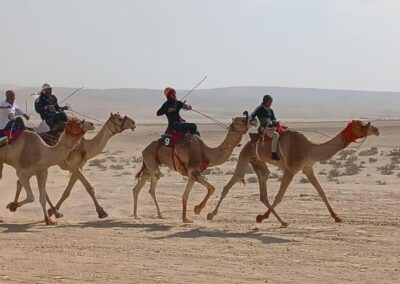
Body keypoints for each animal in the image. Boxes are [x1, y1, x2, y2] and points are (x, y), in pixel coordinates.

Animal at [208, 120, 380, 226]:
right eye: (361, 125)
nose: (376, 130)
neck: (310, 149)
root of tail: (248, 143)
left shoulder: (308, 168)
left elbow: (321, 192)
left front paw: (336, 217)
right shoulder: (291, 169)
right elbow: (279, 196)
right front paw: (261, 217)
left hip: (258, 162)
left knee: (263, 191)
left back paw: (282, 221)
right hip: (244, 157)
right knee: (230, 183)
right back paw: (210, 214)